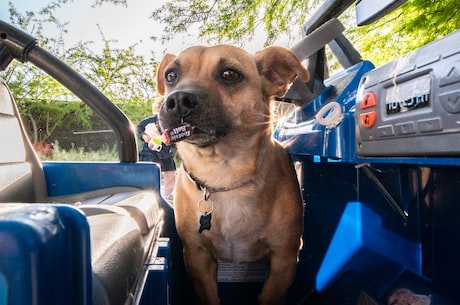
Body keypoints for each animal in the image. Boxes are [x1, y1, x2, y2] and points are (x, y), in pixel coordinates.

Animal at [156, 45, 310, 304]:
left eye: (229, 74)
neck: (223, 175)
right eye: (171, 76)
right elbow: (209, 296)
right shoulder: (197, 257)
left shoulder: (284, 259)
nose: (177, 100)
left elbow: (268, 295)